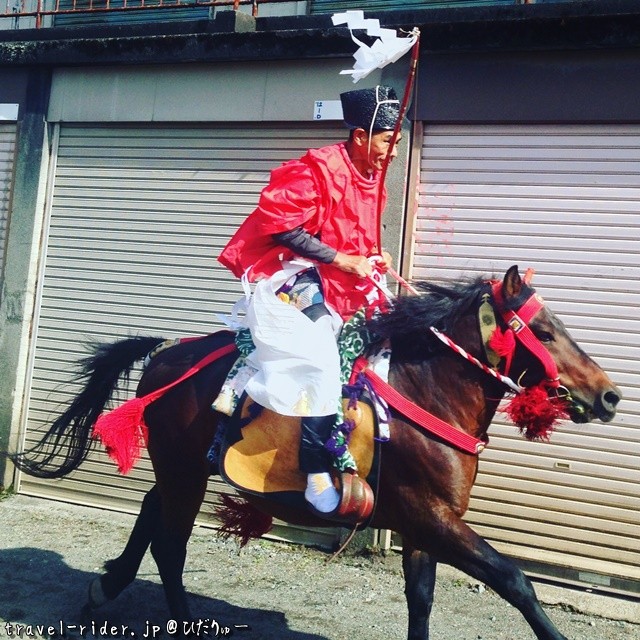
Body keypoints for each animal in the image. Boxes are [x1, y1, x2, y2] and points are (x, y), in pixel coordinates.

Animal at [11, 265, 621, 640]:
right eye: (545, 331)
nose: (609, 395)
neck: (429, 394)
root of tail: (166, 354)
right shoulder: (432, 516)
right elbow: (515, 580)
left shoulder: (424, 524)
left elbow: (421, 598)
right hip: (184, 472)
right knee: (170, 546)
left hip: (180, 469)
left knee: (148, 513)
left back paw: (104, 588)